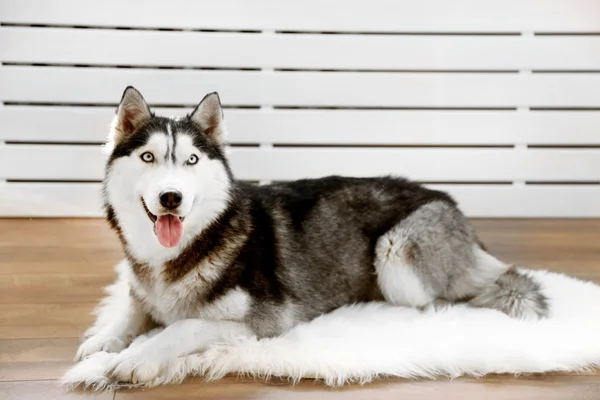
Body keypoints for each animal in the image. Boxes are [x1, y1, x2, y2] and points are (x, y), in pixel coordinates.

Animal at [75, 86, 548, 384]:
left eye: (190, 160)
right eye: (148, 157)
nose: (170, 197)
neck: (183, 251)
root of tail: (448, 200)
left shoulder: (263, 322)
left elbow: (181, 327)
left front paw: (136, 359)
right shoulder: (144, 295)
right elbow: (131, 313)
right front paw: (101, 341)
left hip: (396, 256)